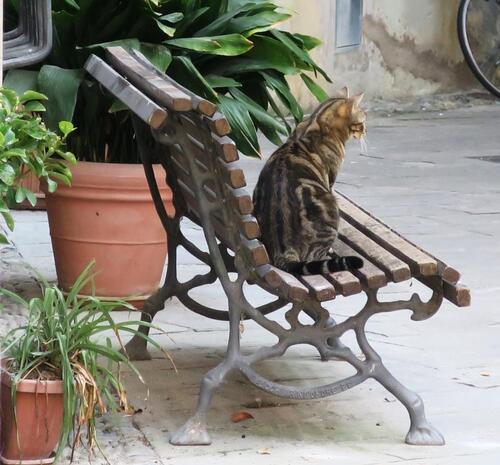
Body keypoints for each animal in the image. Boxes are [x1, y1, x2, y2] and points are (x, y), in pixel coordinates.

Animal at [256, 86, 366, 274]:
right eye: (362, 121)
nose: (365, 130)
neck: (317, 121)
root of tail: (283, 252)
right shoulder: (330, 181)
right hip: (331, 205)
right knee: (316, 255)